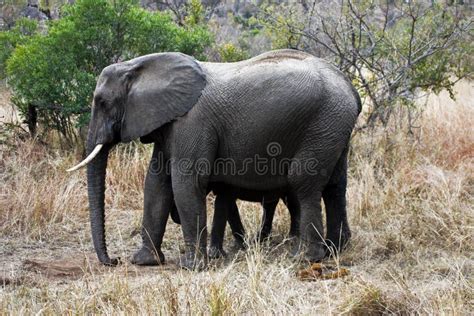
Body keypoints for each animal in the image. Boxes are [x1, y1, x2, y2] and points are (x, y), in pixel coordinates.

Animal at [68, 49, 362, 270]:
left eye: (102, 102)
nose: (113, 260)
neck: (140, 65)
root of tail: (350, 88)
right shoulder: (169, 123)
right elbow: (156, 184)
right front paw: (145, 261)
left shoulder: (193, 122)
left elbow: (186, 183)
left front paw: (192, 266)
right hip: (334, 126)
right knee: (335, 185)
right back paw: (336, 249)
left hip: (323, 122)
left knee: (303, 182)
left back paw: (305, 257)